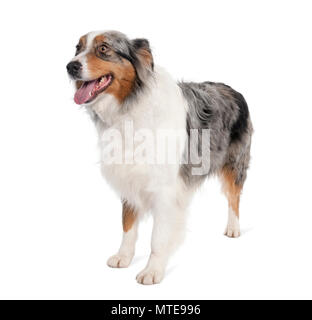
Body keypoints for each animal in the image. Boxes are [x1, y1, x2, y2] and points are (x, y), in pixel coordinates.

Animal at [67, 30, 252, 284]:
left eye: (104, 49)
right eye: (77, 48)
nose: (70, 66)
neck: (129, 108)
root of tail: (233, 89)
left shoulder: (165, 189)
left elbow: (158, 237)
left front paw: (152, 271)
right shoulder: (129, 176)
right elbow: (127, 224)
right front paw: (123, 257)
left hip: (235, 162)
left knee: (234, 196)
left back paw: (233, 228)